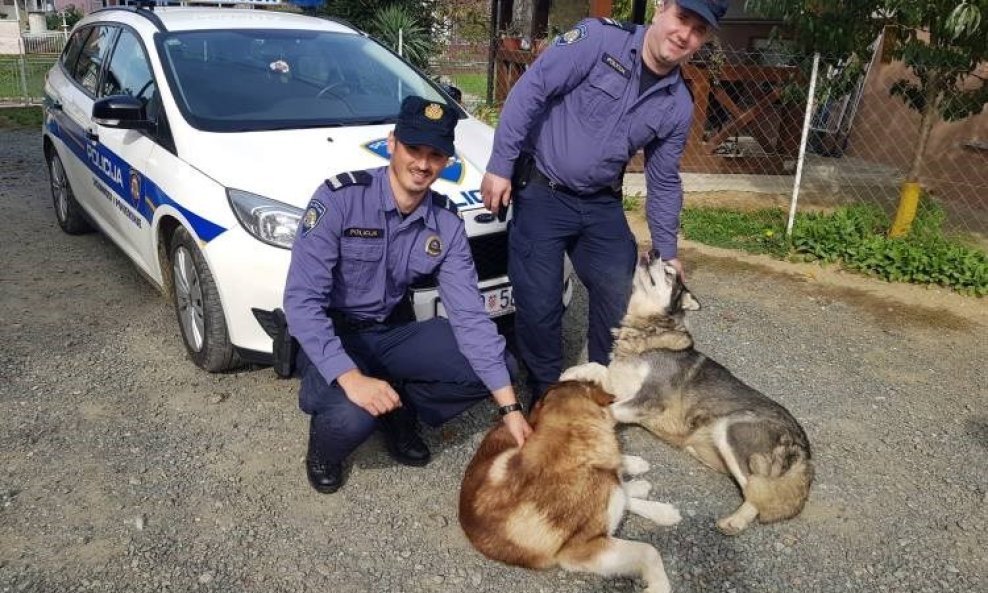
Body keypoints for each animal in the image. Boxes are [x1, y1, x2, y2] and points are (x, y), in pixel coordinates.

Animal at [560, 256, 816, 536]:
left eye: (670, 273)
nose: (655, 251)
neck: (649, 333)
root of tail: (804, 447)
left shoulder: (650, 398)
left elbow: (610, 409)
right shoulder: (622, 385)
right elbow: (596, 367)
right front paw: (570, 372)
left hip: (731, 429)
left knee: (758, 492)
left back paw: (735, 520)